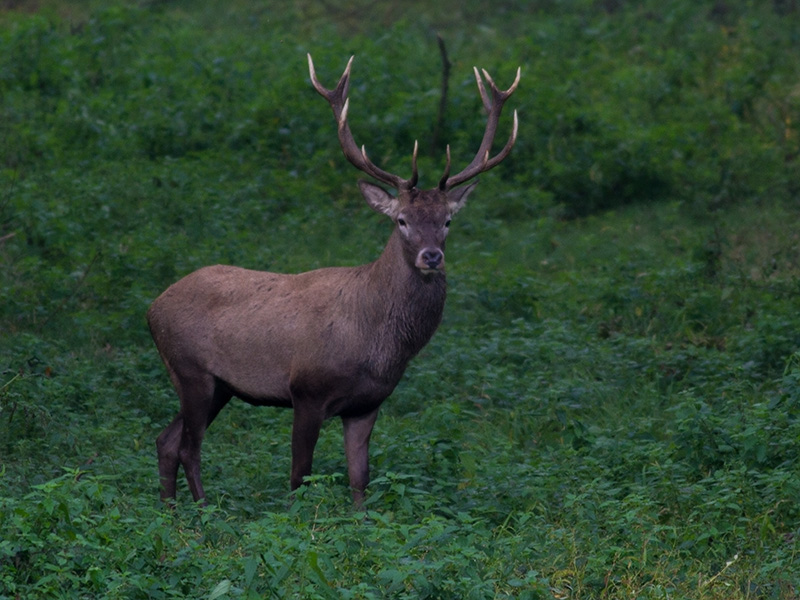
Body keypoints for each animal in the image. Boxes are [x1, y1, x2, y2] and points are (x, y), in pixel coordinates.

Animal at [147, 55, 520, 506]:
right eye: (401, 220)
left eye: (447, 220)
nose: (432, 256)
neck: (377, 344)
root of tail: (152, 308)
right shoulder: (306, 390)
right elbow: (299, 476)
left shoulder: (367, 405)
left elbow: (360, 479)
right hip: (191, 370)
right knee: (188, 446)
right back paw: (204, 512)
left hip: (219, 386)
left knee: (166, 440)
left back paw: (171, 510)